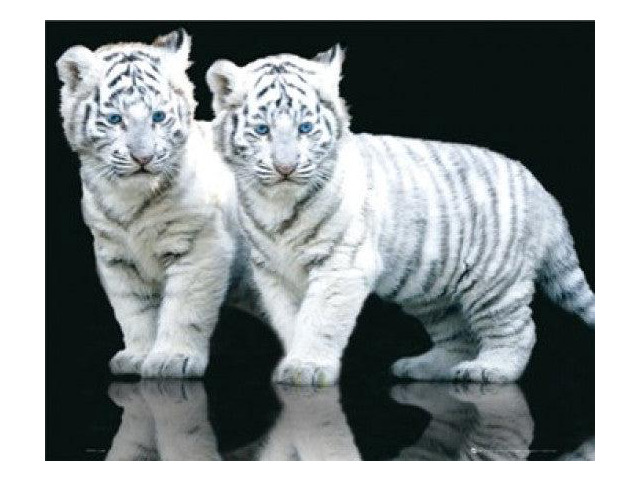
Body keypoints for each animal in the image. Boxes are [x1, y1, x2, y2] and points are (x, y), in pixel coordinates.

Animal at [56, 29, 254, 378]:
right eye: (115, 119)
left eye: (158, 117)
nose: (143, 158)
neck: (129, 201)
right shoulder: (115, 255)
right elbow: (133, 310)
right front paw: (137, 356)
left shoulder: (200, 244)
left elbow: (184, 305)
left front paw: (173, 359)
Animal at [206, 45, 594, 386]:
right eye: (262, 130)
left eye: (305, 129)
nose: (285, 168)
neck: (277, 204)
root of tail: (541, 191)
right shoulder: (273, 271)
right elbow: (291, 320)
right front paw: (295, 360)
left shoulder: (341, 265)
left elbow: (320, 320)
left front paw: (308, 367)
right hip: (434, 292)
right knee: (459, 336)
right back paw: (422, 367)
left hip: (494, 281)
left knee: (517, 330)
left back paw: (491, 369)